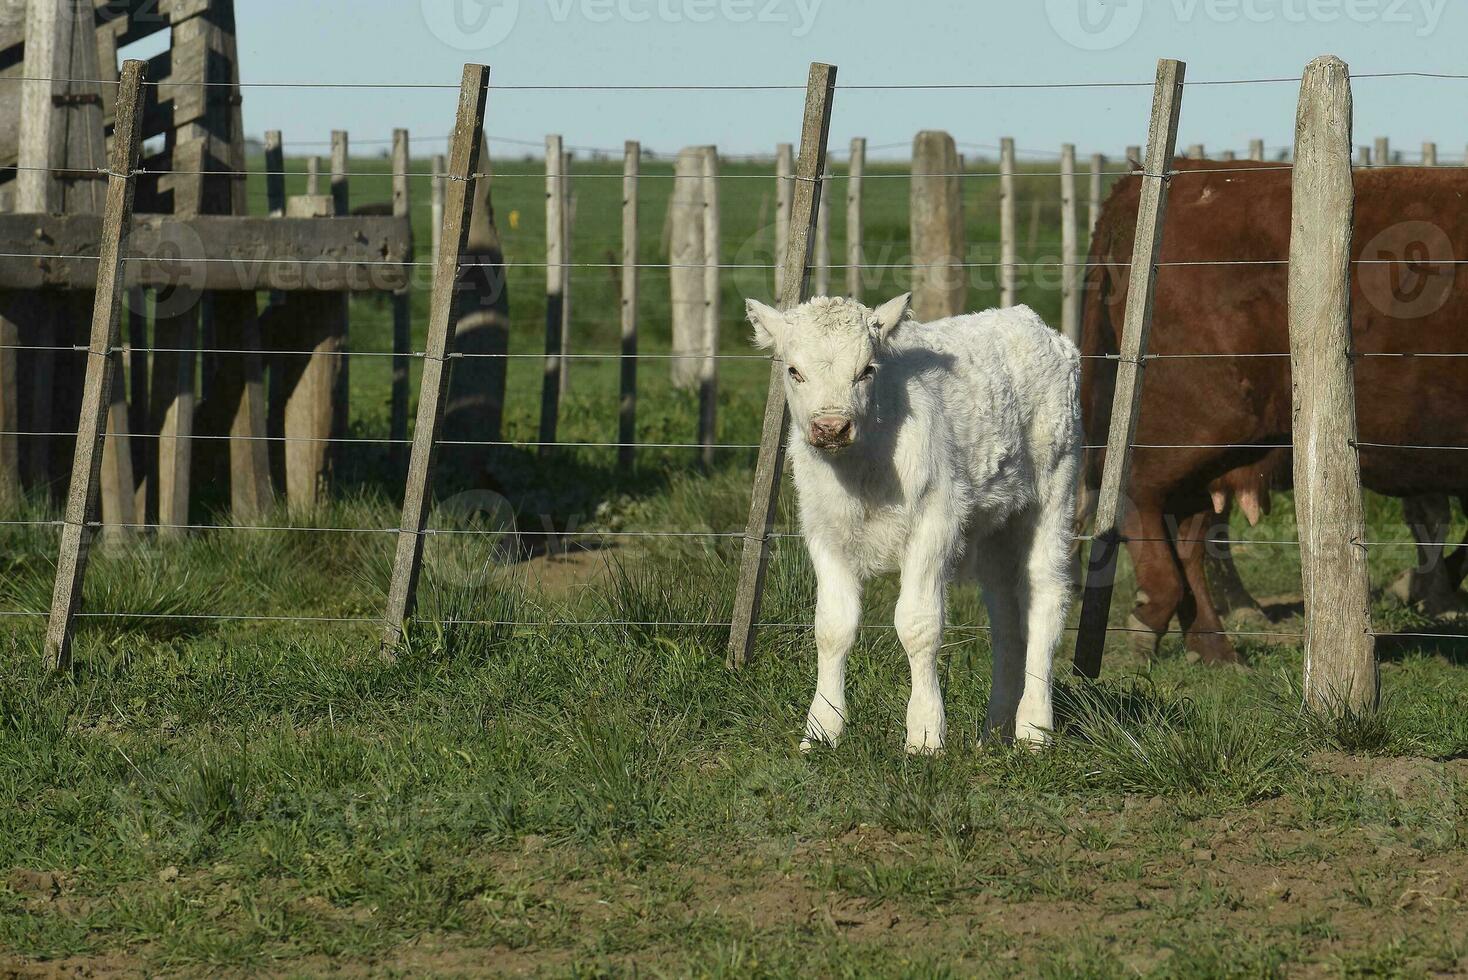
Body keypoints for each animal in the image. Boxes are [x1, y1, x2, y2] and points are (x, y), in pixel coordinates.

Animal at [751, 290, 1086, 751]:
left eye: (866, 370)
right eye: (794, 371)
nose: (831, 427)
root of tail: (1029, 320)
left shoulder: (935, 522)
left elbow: (918, 624)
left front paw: (925, 734)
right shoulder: (823, 530)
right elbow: (832, 627)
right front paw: (821, 731)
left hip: (1054, 488)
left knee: (1044, 598)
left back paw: (1034, 730)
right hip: (996, 525)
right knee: (1005, 618)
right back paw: (995, 730)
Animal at [1080, 159, 1468, 666]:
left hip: (1223, 452)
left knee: (1187, 532)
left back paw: (1214, 648)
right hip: (1200, 426)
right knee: (1136, 492)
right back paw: (1153, 612)